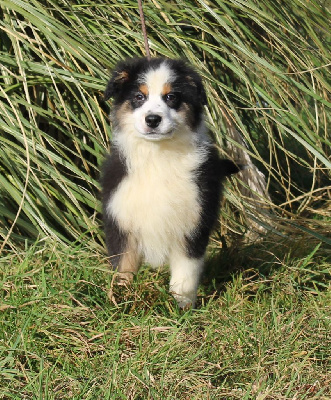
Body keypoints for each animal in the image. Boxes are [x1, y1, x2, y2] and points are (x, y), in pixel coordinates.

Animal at [102, 57, 240, 308]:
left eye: (172, 97)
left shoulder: (193, 223)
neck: (158, 156)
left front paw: (181, 308)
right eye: (139, 97)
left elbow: (185, 275)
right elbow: (124, 268)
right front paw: (122, 301)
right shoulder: (121, 220)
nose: (152, 119)